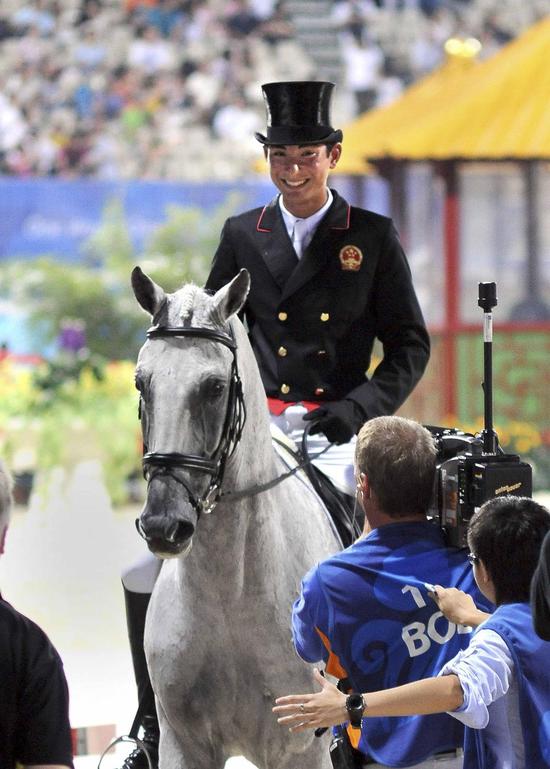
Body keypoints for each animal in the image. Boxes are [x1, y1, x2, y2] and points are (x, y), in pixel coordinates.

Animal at [133, 266, 340, 768]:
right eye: (141, 383)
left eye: (214, 387)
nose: (163, 526)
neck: (231, 593)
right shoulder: (183, 746)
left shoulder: (299, 750)